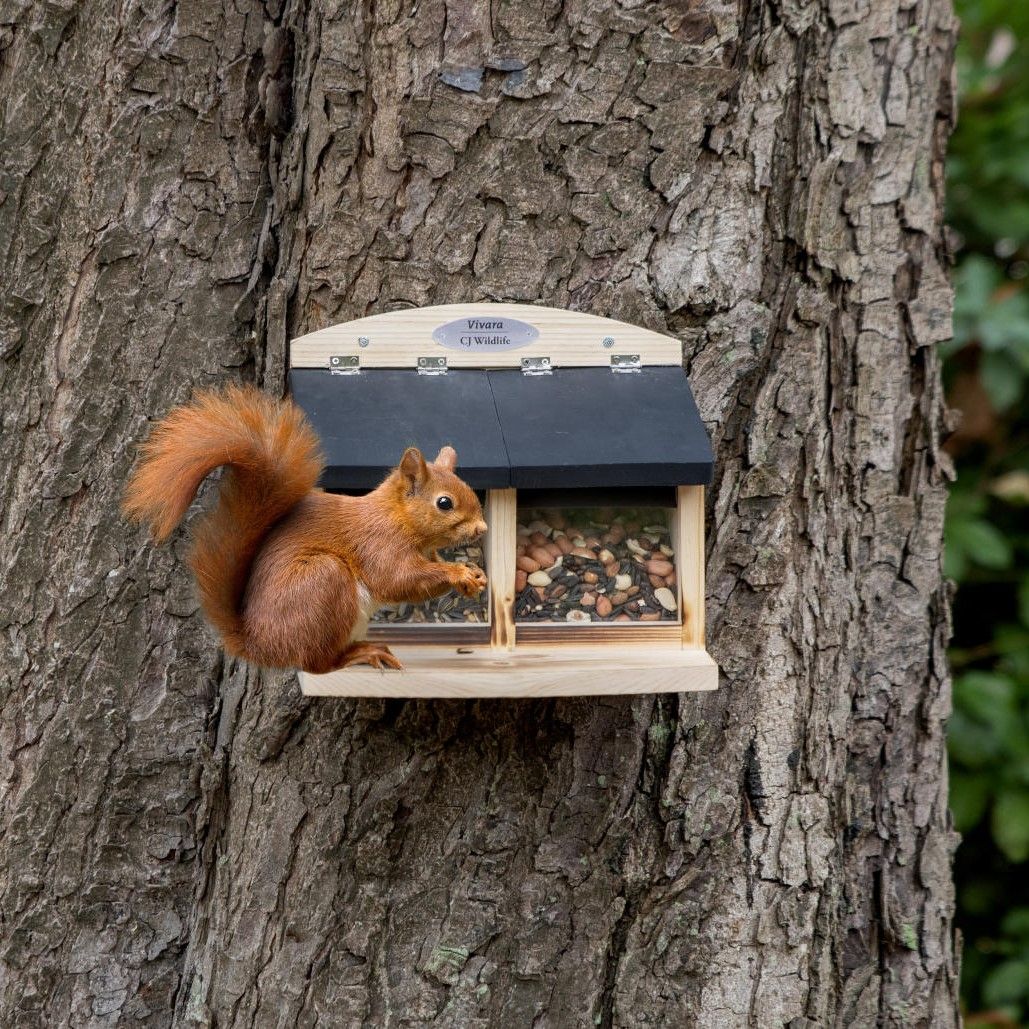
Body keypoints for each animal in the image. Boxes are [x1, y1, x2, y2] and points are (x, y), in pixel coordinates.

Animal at [122, 386, 487, 675]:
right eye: (444, 503)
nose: (482, 528)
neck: (398, 517)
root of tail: (259, 645)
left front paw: (472, 573)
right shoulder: (378, 543)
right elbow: (397, 579)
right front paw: (457, 573)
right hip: (323, 582)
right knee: (316, 664)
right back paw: (360, 654)